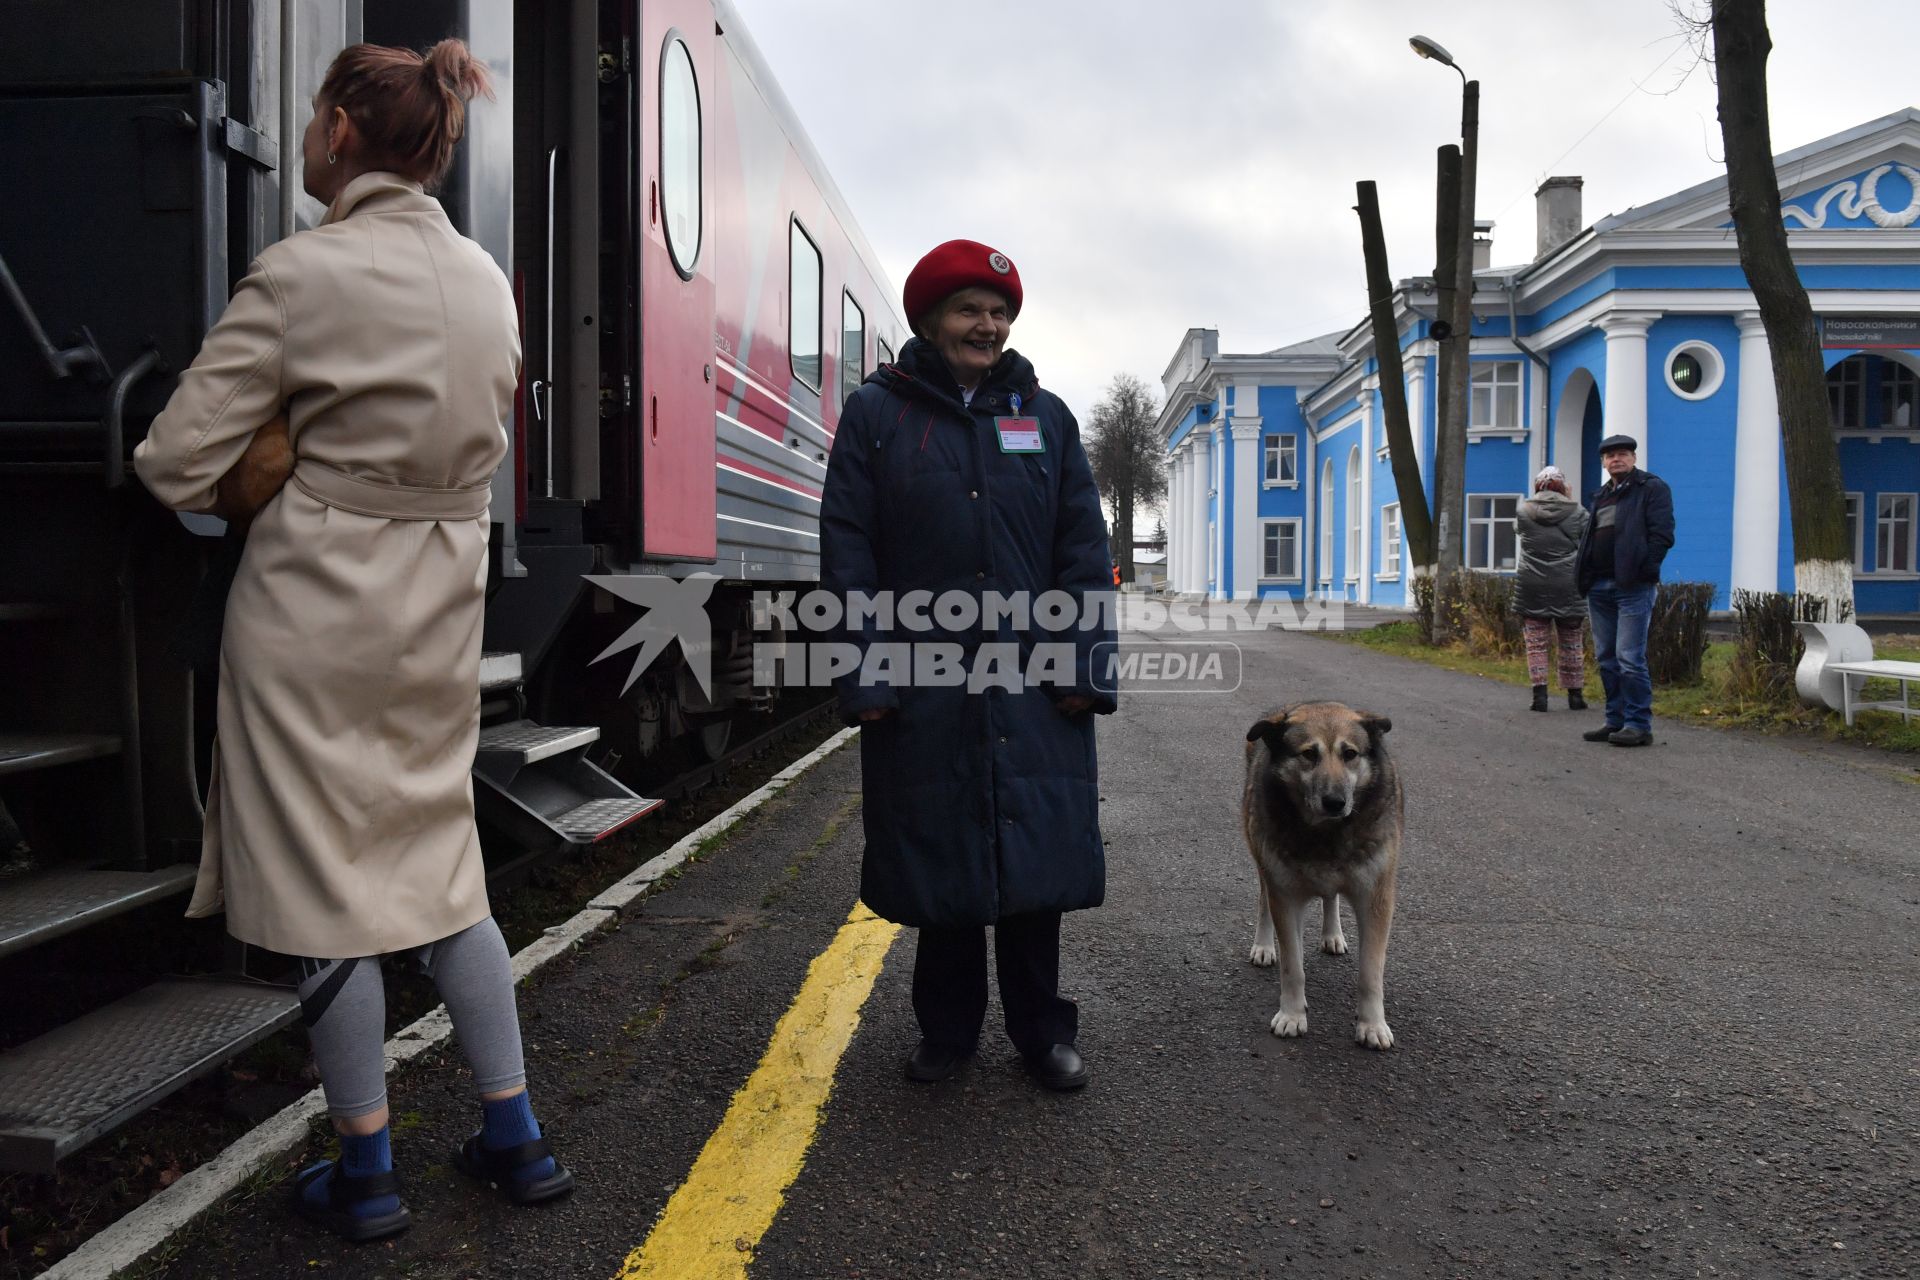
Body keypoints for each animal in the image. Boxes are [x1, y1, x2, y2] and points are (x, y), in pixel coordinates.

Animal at [1244, 702, 1397, 1051]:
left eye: (1350, 753)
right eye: (1308, 754)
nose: (1336, 802)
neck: (1327, 833)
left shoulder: (1376, 898)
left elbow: (1370, 972)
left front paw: (1372, 1025)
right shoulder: (1284, 895)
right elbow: (1293, 966)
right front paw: (1292, 1015)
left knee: (1332, 897)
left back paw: (1332, 934)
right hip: (1261, 856)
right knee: (1263, 900)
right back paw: (1264, 945)